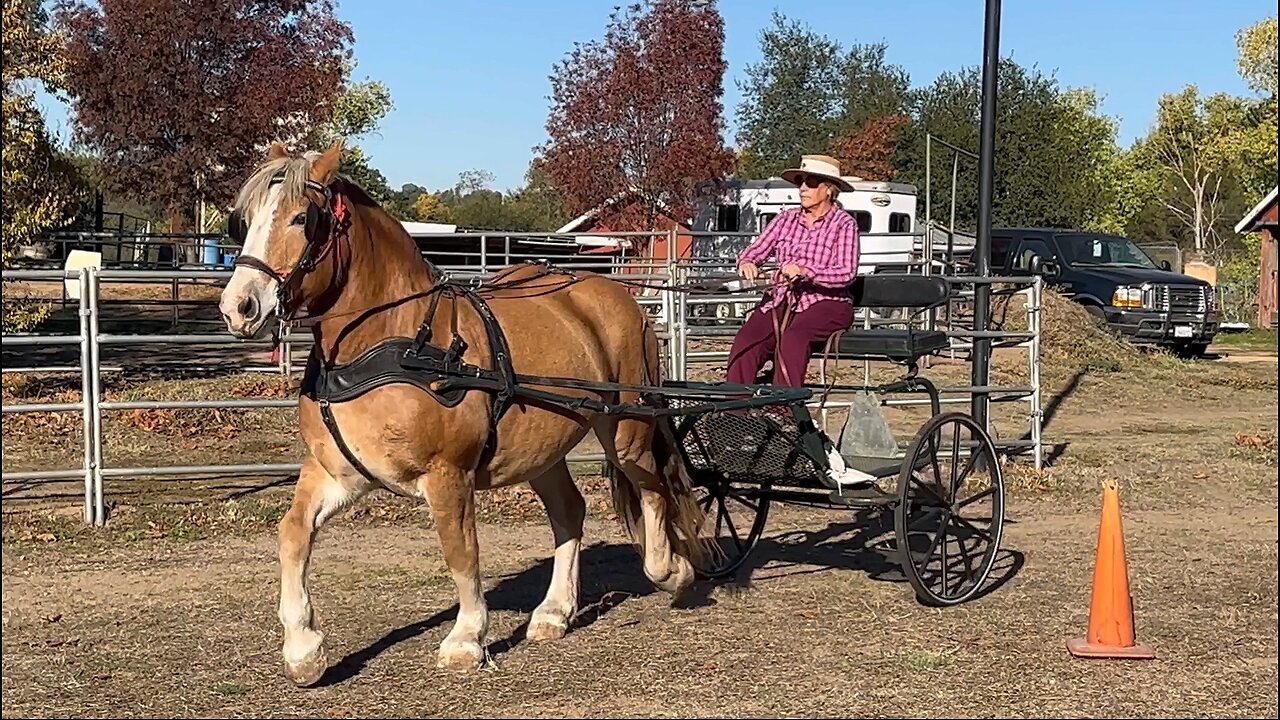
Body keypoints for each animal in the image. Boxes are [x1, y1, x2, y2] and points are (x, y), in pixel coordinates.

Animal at [215, 140, 706, 681]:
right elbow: (293, 532)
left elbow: (460, 550)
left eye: (302, 218)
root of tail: (618, 294)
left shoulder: (448, 474)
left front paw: (467, 638)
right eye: (245, 220)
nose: (239, 306)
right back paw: (554, 612)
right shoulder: (339, 471)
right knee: (569, 511)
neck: (394, 342)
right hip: (543, 450)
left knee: (652, 488)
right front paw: (303, 648)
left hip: (626, 428)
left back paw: (672, 570)